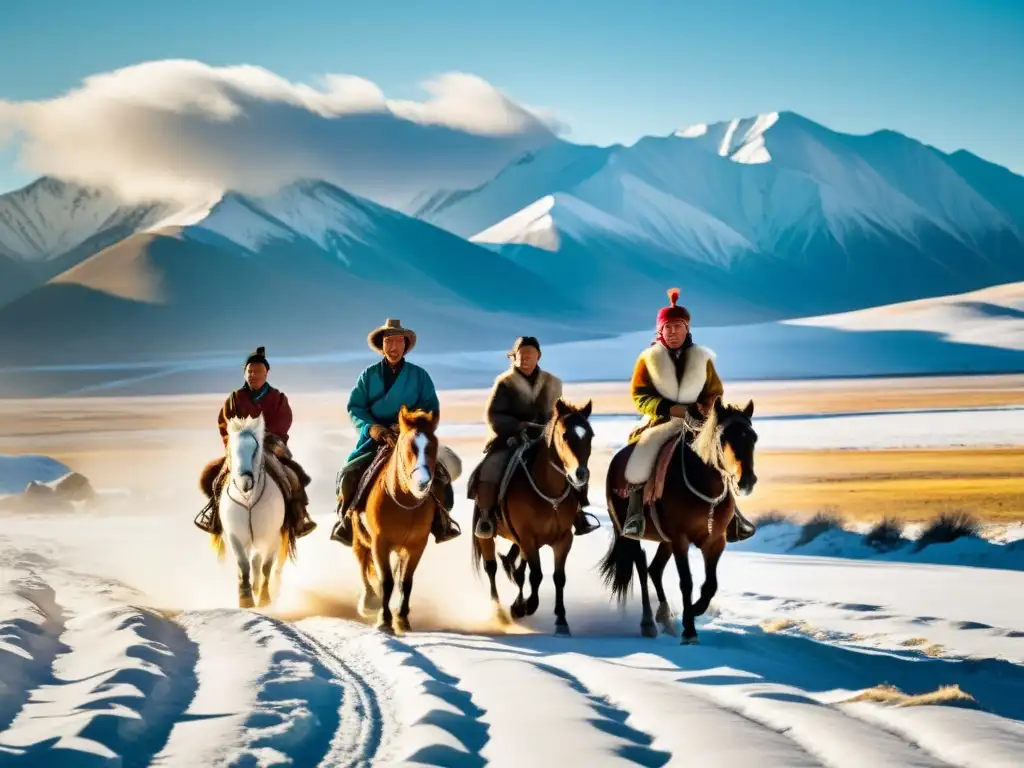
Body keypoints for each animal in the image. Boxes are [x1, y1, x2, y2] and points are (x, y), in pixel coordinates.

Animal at [207, 417, 288, 610]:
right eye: (232, 448)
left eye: (255, 448)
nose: (245, 482)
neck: (248, 500)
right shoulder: (234, 536)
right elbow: (243, 565)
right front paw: (245, 599)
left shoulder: (271, 537)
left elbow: (266, 566)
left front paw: (264, 598)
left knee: (260, 563)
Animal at [352, 405, 444, 634]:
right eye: (409, 446)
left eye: (433, 445)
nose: (422, 482)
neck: (404, 503)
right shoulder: (380, 542)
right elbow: (386, 581)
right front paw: (384, 620)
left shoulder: (417, 545)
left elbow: (405, 581)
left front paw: (402, 619)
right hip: (359, 538)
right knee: (362, 562)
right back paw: (368, 601)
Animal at [468, 399, 598, 634]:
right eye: (565, 435)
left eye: (590, 435)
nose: (580, 474)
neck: (549, 492)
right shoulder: (528, 538)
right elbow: (535, 575)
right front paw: (526, 607)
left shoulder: (563, 539)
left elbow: (558, 577)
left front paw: (561, 620)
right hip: (486, 533)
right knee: (492, 568)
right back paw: (499, 613)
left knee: (516, 568)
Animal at [598, 399, 757, 647]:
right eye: (723, 438)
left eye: (753, 438)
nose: (747, 480)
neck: (704, 485)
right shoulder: (680, 539)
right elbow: (686, 582)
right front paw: (689, 630)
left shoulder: (715, 540)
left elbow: (710, 584)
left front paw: (695, 610)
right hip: (631, 534)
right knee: (641, 564)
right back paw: (648, 623)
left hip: (666, 540)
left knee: (654, 569)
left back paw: (665, 617)